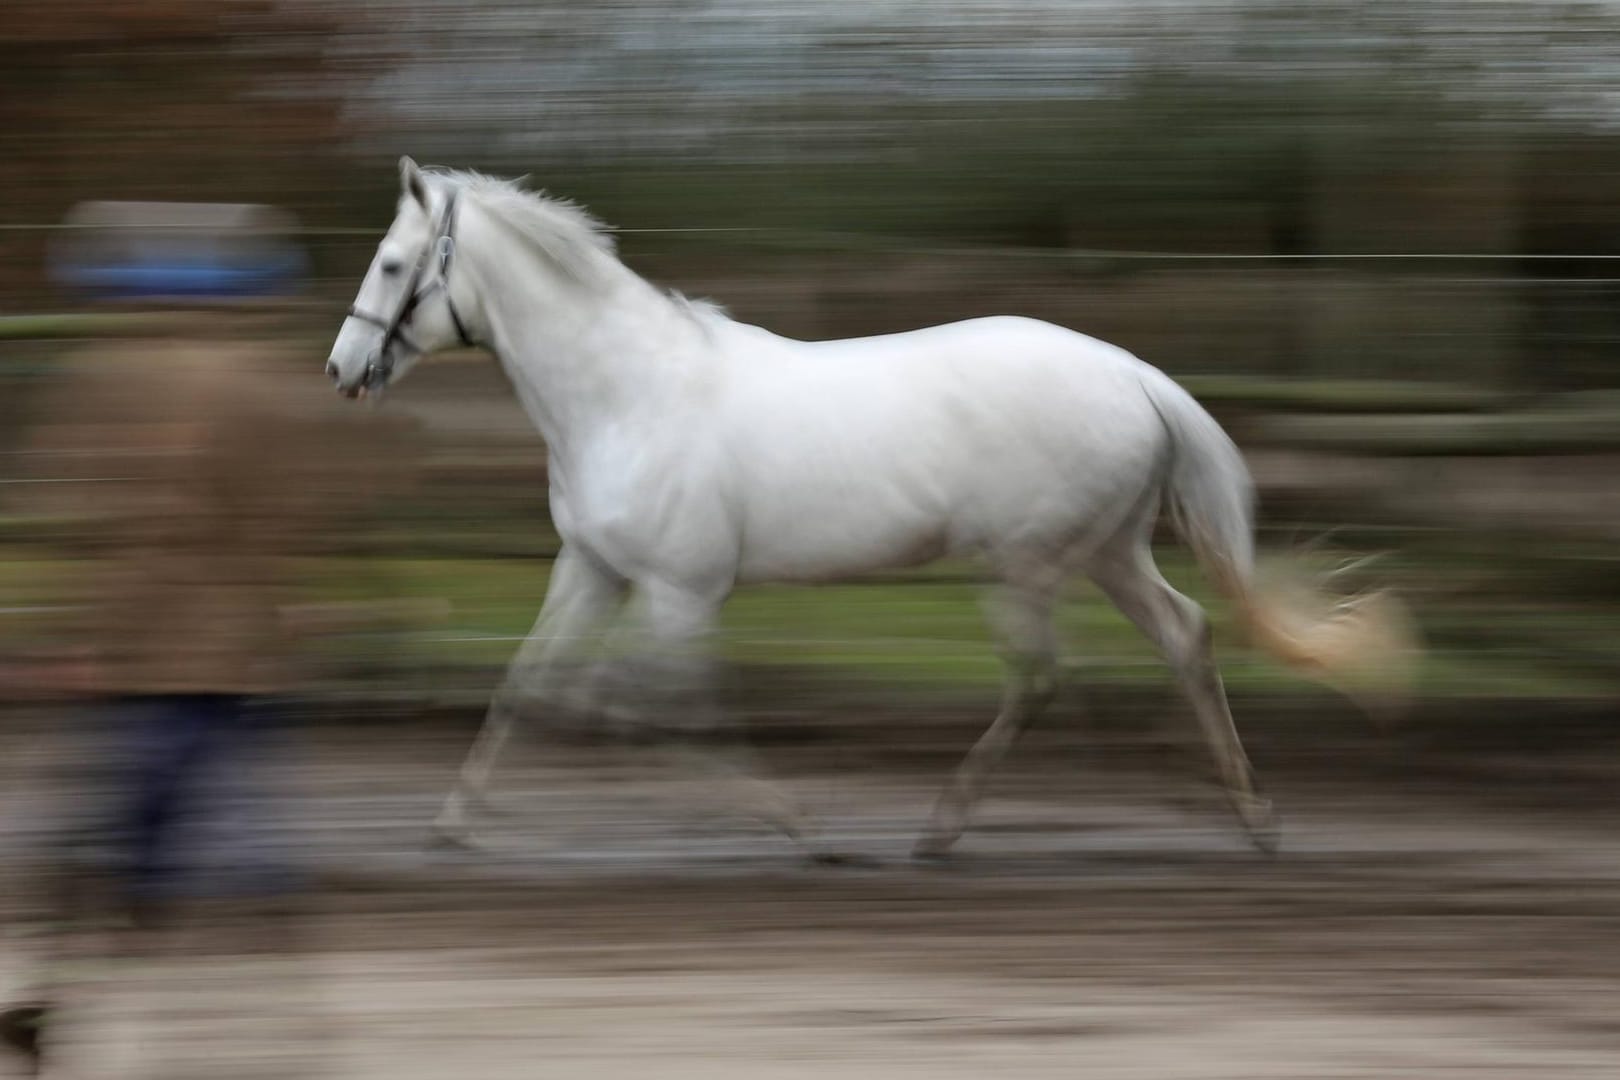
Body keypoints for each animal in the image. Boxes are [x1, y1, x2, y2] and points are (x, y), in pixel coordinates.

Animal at [325, 156, 1406, 854]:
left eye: (392, 262)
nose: (341, 370)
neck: (627, 395)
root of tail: (1136, 375)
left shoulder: (679, 589)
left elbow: (660, 709)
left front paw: (796, 825)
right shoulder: (593, 568)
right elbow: (531, 684)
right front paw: (453, 822)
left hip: (1027, 564)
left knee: (1042, 677)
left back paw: (944, 824)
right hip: (1109, 553)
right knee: (1183, 636)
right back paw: (1251, 817)